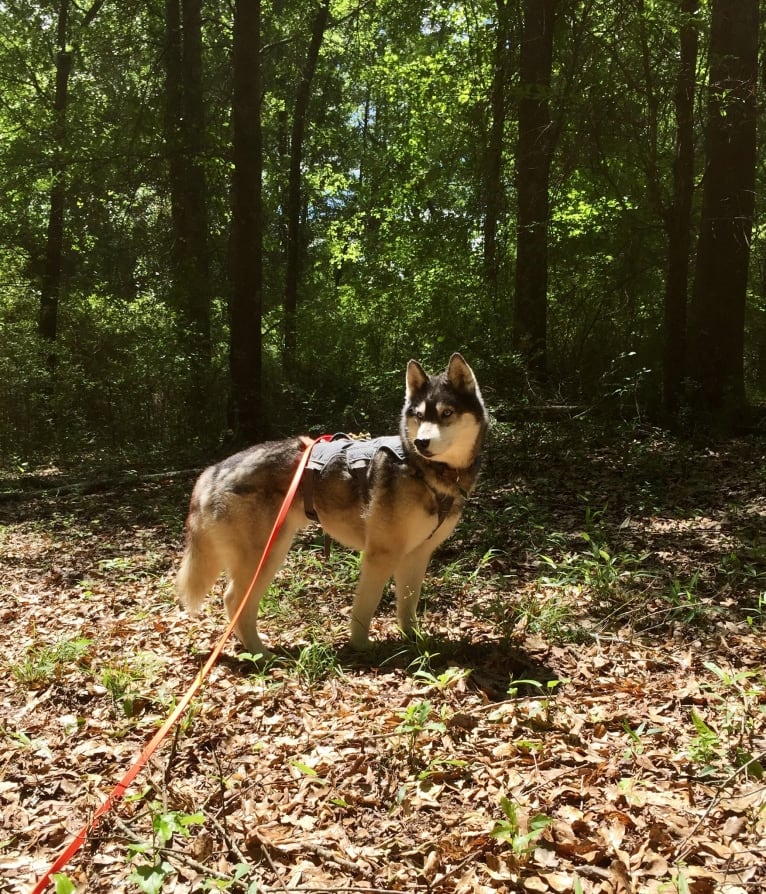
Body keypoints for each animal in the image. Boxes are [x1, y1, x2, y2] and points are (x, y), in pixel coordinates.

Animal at [176, 356, 486, 656]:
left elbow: (407, 605)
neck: (422, 469)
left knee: (237, 603)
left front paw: (414, 641)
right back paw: (260, 654)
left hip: (272, 552)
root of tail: (211, 471)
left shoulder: (416, 555)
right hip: (265, 556)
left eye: (447, 413)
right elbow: (365, 606)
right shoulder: (381, 554)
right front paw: (361, 647)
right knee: (233, 600)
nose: (421, 442)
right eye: (419, 416)